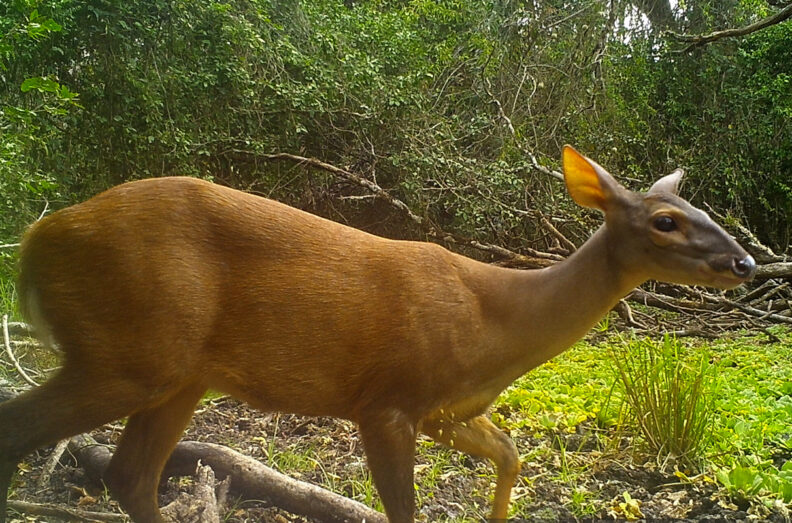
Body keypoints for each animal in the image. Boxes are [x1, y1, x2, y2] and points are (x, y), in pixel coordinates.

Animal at [0, 146, 755, 522]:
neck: (495, 321)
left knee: (130, 475)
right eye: (665, 220)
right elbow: (404, 509)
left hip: (179, 373)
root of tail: (35, 240)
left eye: (701, 210)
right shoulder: (386, 397)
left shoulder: (446, 408)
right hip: (127, 348)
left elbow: (511, 455)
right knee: (24, 427)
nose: (745, 262)